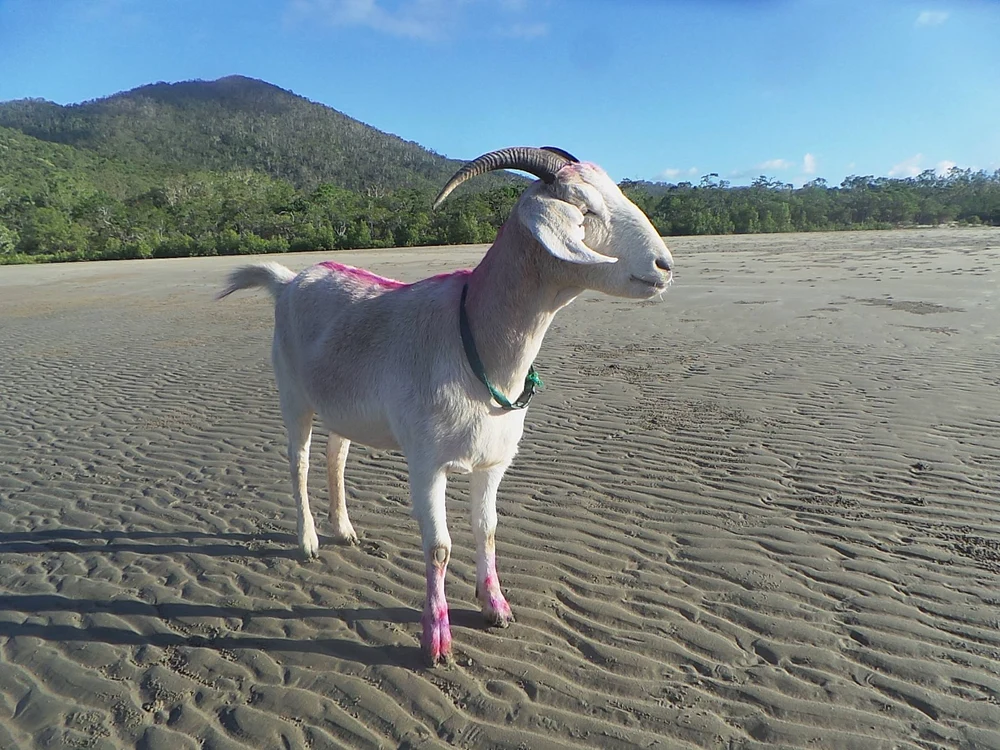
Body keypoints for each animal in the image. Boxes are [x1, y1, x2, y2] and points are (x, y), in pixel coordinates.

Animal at [219, 147, 673, 665]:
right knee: (299, 462)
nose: (663, 265)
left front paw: (495, 606)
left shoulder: (493, 462)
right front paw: (436, 637)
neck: (471, 335)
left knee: (336, 457)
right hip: (293, 395)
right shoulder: (426, 463)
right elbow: (438, 547)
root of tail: (292, 279)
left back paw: (344, 529)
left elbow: (488, 530)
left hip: (342, 407)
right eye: (585, 209)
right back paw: (309, 540)